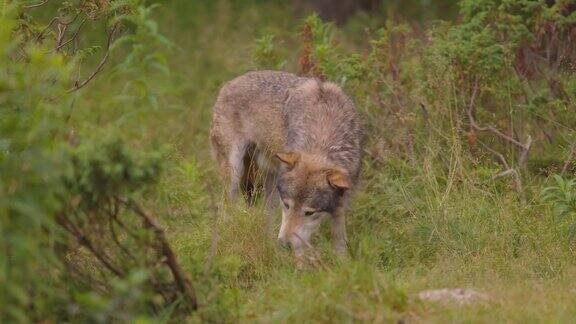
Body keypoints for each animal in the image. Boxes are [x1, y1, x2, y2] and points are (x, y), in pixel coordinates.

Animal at [212, 70, 362, 258]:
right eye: (287, 205)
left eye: (309, 212)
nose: (284, 244)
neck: (323, 134)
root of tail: (230, 83)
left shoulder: (342, 200)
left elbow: (339, 239)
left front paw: (342, 262)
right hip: (235, 175)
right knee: (224, 211)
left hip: (270, 182)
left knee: (265, 216)